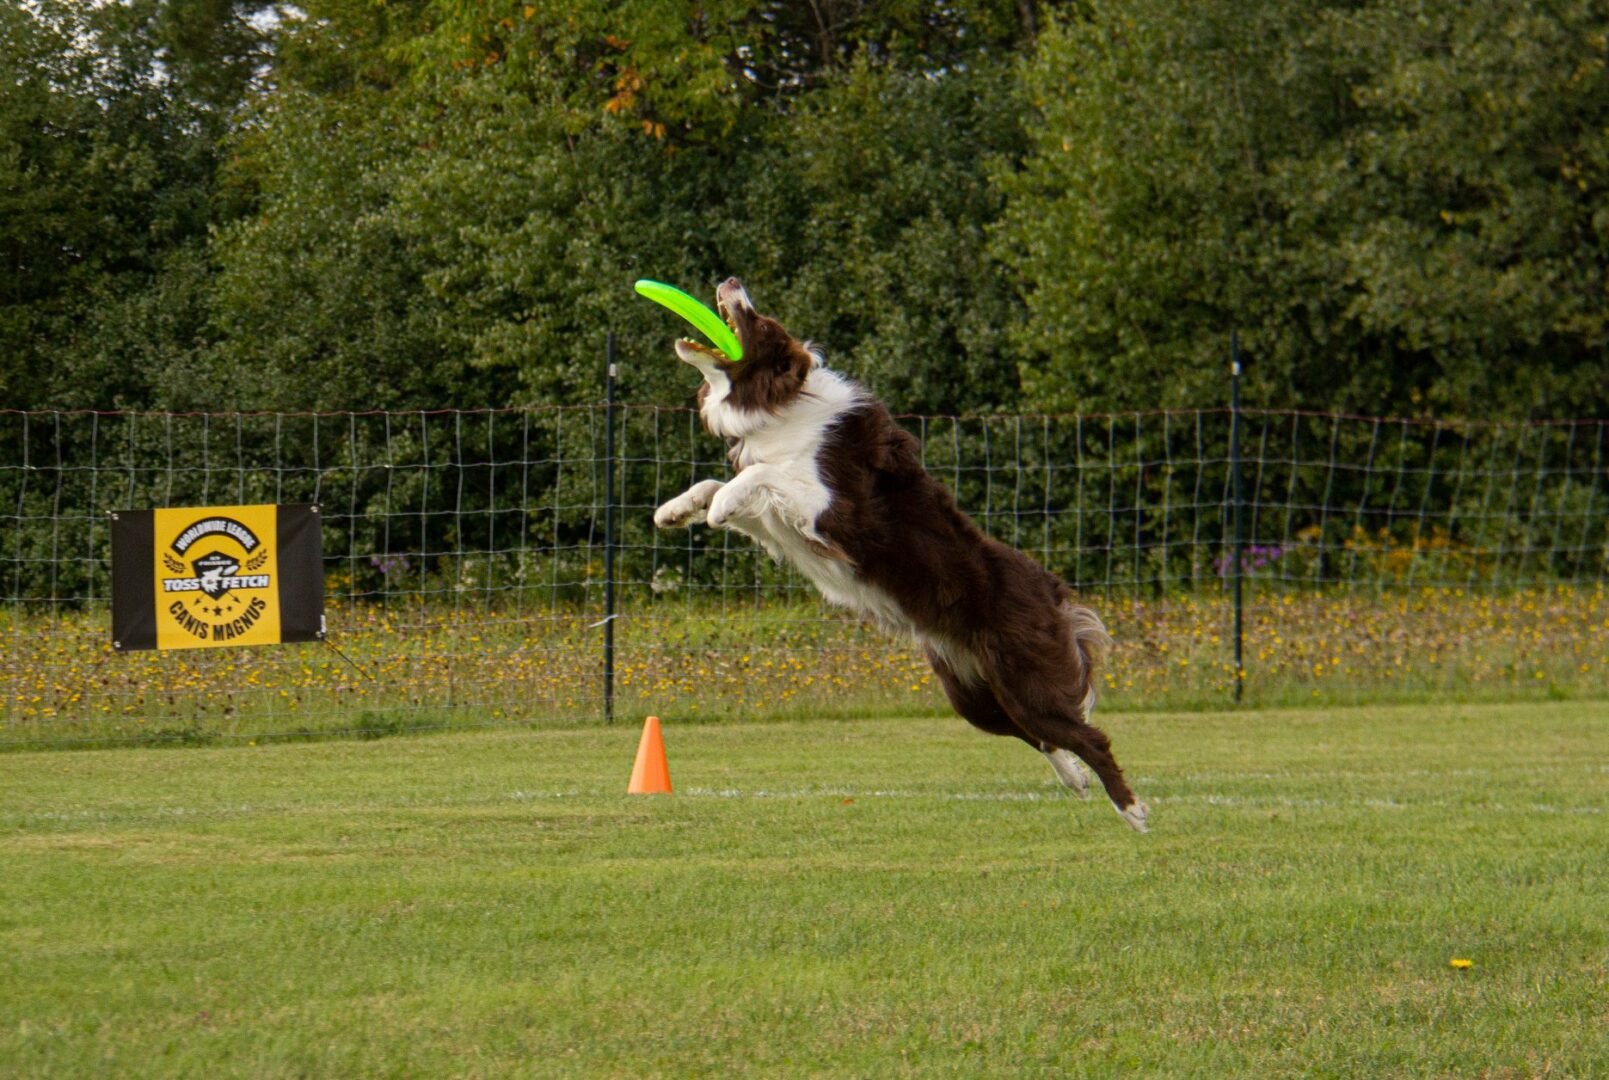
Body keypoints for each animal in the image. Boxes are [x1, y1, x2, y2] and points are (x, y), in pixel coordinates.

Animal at [646, 281, 1152, 836]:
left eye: (757, 321)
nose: (732, 283)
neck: (781, 403)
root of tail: (1053, 590)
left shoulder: (837, 513)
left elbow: (757, 476)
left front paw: (716, 507)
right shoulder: (782, 528)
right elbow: (719, 480)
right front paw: (675, 509)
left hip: (1025, 678)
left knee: (1087, 735)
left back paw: (1132, 809)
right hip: (973, 694)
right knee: (1040, 734)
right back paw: (1076, 779)